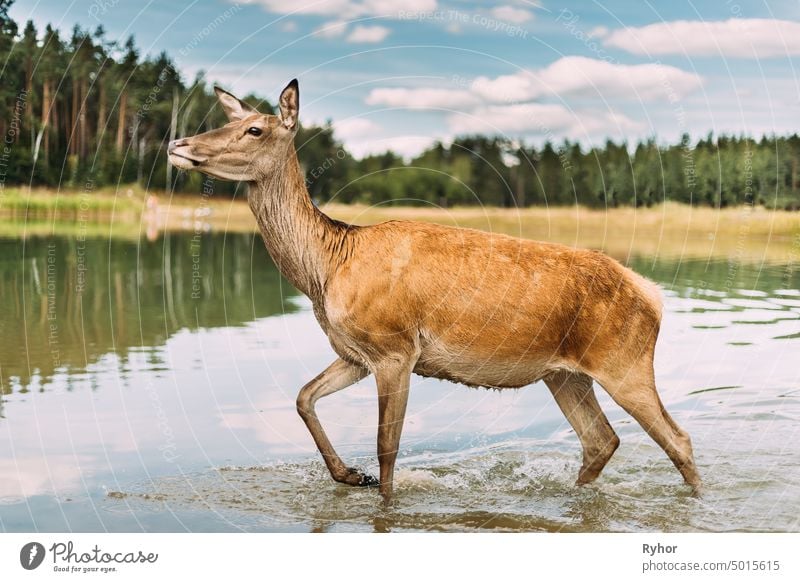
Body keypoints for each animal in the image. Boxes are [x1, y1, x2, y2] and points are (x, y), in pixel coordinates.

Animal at [167, 80, 700, 504]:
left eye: (255, 129)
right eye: (231, 120)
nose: (177, 143)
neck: (329, 263)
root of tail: (652, 295)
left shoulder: (396, 348)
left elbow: (387, 449)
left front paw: (380, 493)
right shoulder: (356, 352)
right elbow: (303, 397)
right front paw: (348, 475)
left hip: (625, 361)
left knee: (678, 439)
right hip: (564, 375)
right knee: (601, 440)